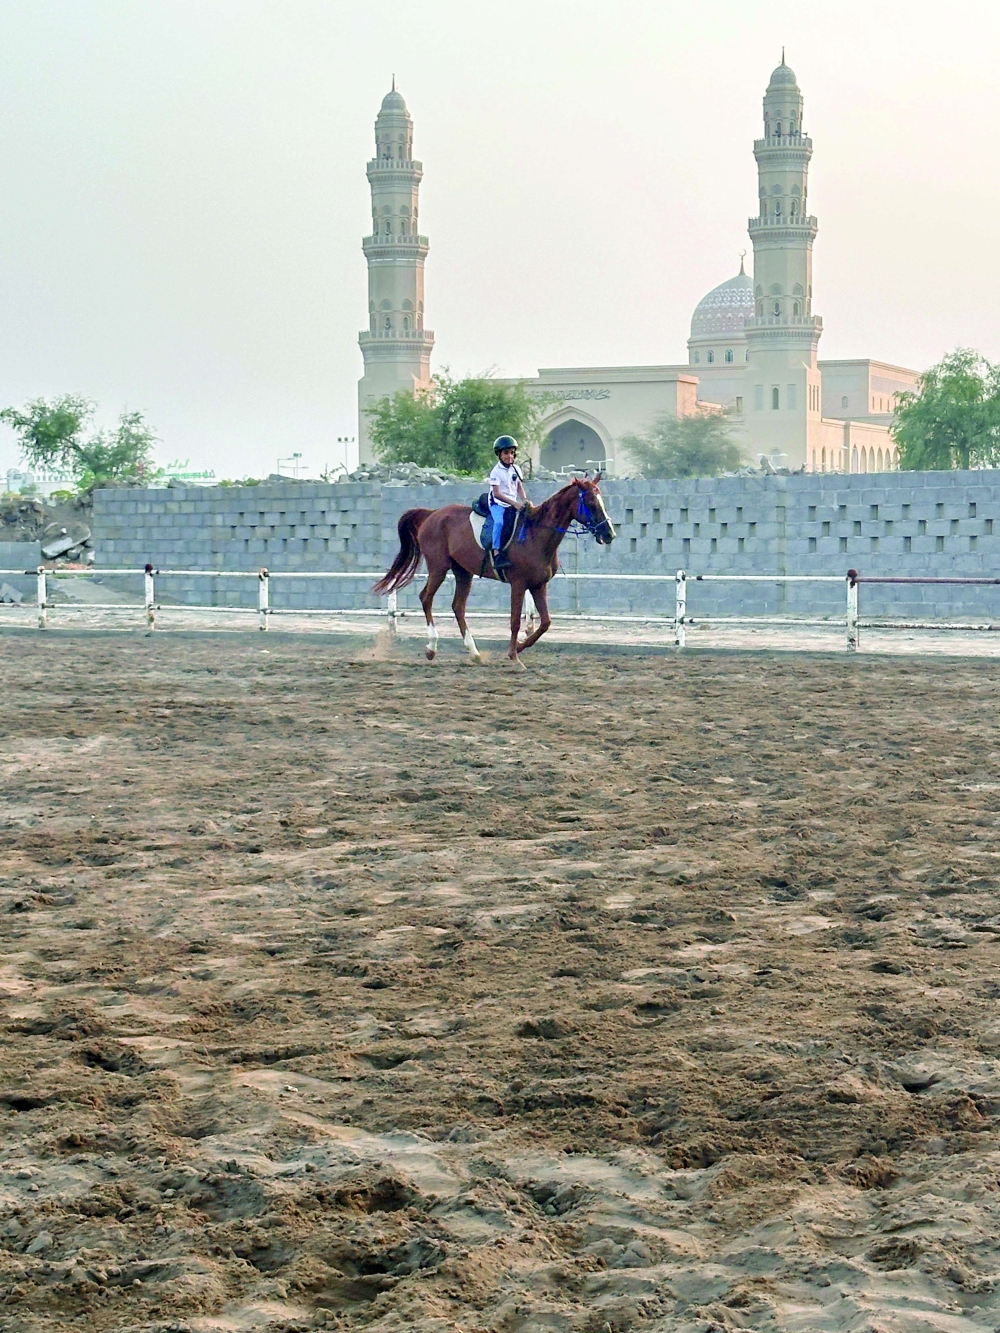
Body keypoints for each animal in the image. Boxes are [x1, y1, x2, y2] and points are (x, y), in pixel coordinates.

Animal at [373, 477, 616, 665]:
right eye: (591, 503)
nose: (609, 534)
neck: (536, 534)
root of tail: (432, 514)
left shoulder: (539, 585)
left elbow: (545, 623)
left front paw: (519, 648)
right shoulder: (518, 584)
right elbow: (515, 620)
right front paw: (514, 656)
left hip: (463, 572)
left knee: (458, 606)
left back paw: (475, 653)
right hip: (439, 568)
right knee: (426, 598)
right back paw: (431, 648)